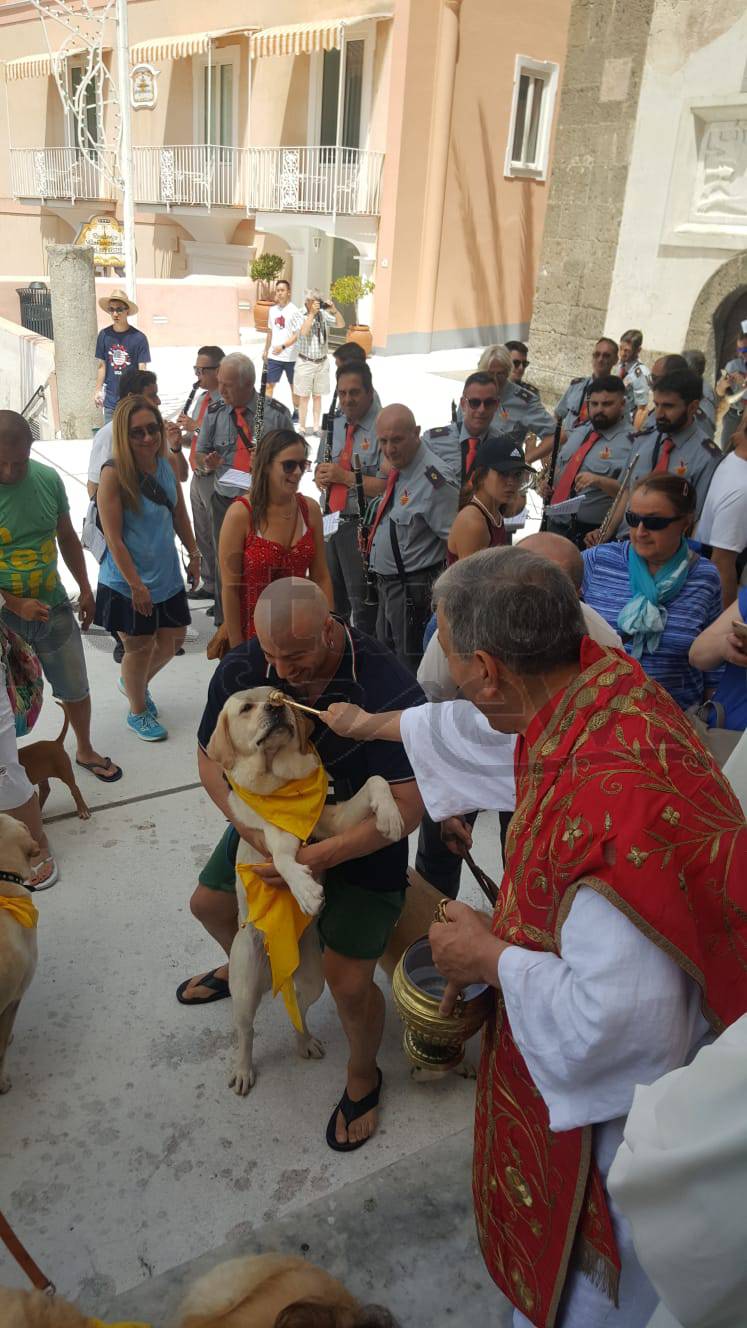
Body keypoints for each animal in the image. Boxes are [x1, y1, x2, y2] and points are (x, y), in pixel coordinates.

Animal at [203, 690, 404, 1094]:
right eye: (246, 708)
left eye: (276, 697)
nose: (277, 707)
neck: (279, 783)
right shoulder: (271, 836)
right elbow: (282, 858)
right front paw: (306, 891)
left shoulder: (334, 822)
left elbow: (376, 780)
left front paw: (389, 815)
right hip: (243, 987)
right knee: (245, 1031)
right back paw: (243, 1069)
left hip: (313, 979)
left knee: (297, 1008)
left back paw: (305, 1041)